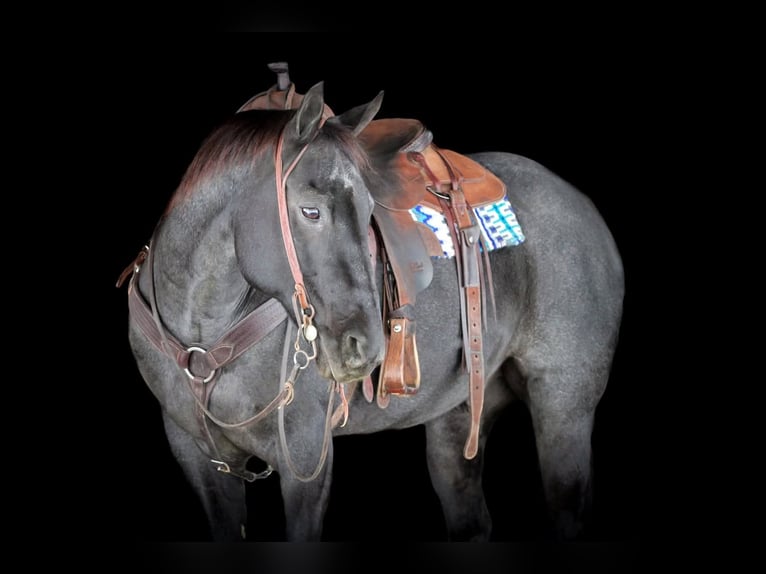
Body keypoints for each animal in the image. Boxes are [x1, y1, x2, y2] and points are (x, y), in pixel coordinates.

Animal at [118, 75, 624, 542]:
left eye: (367, 211)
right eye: (311, 211)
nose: (363, 347)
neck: (205, 333)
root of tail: (584, 208)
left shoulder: (306, 457)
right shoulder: (200, 460)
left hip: (564, 406)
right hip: (458, 417)